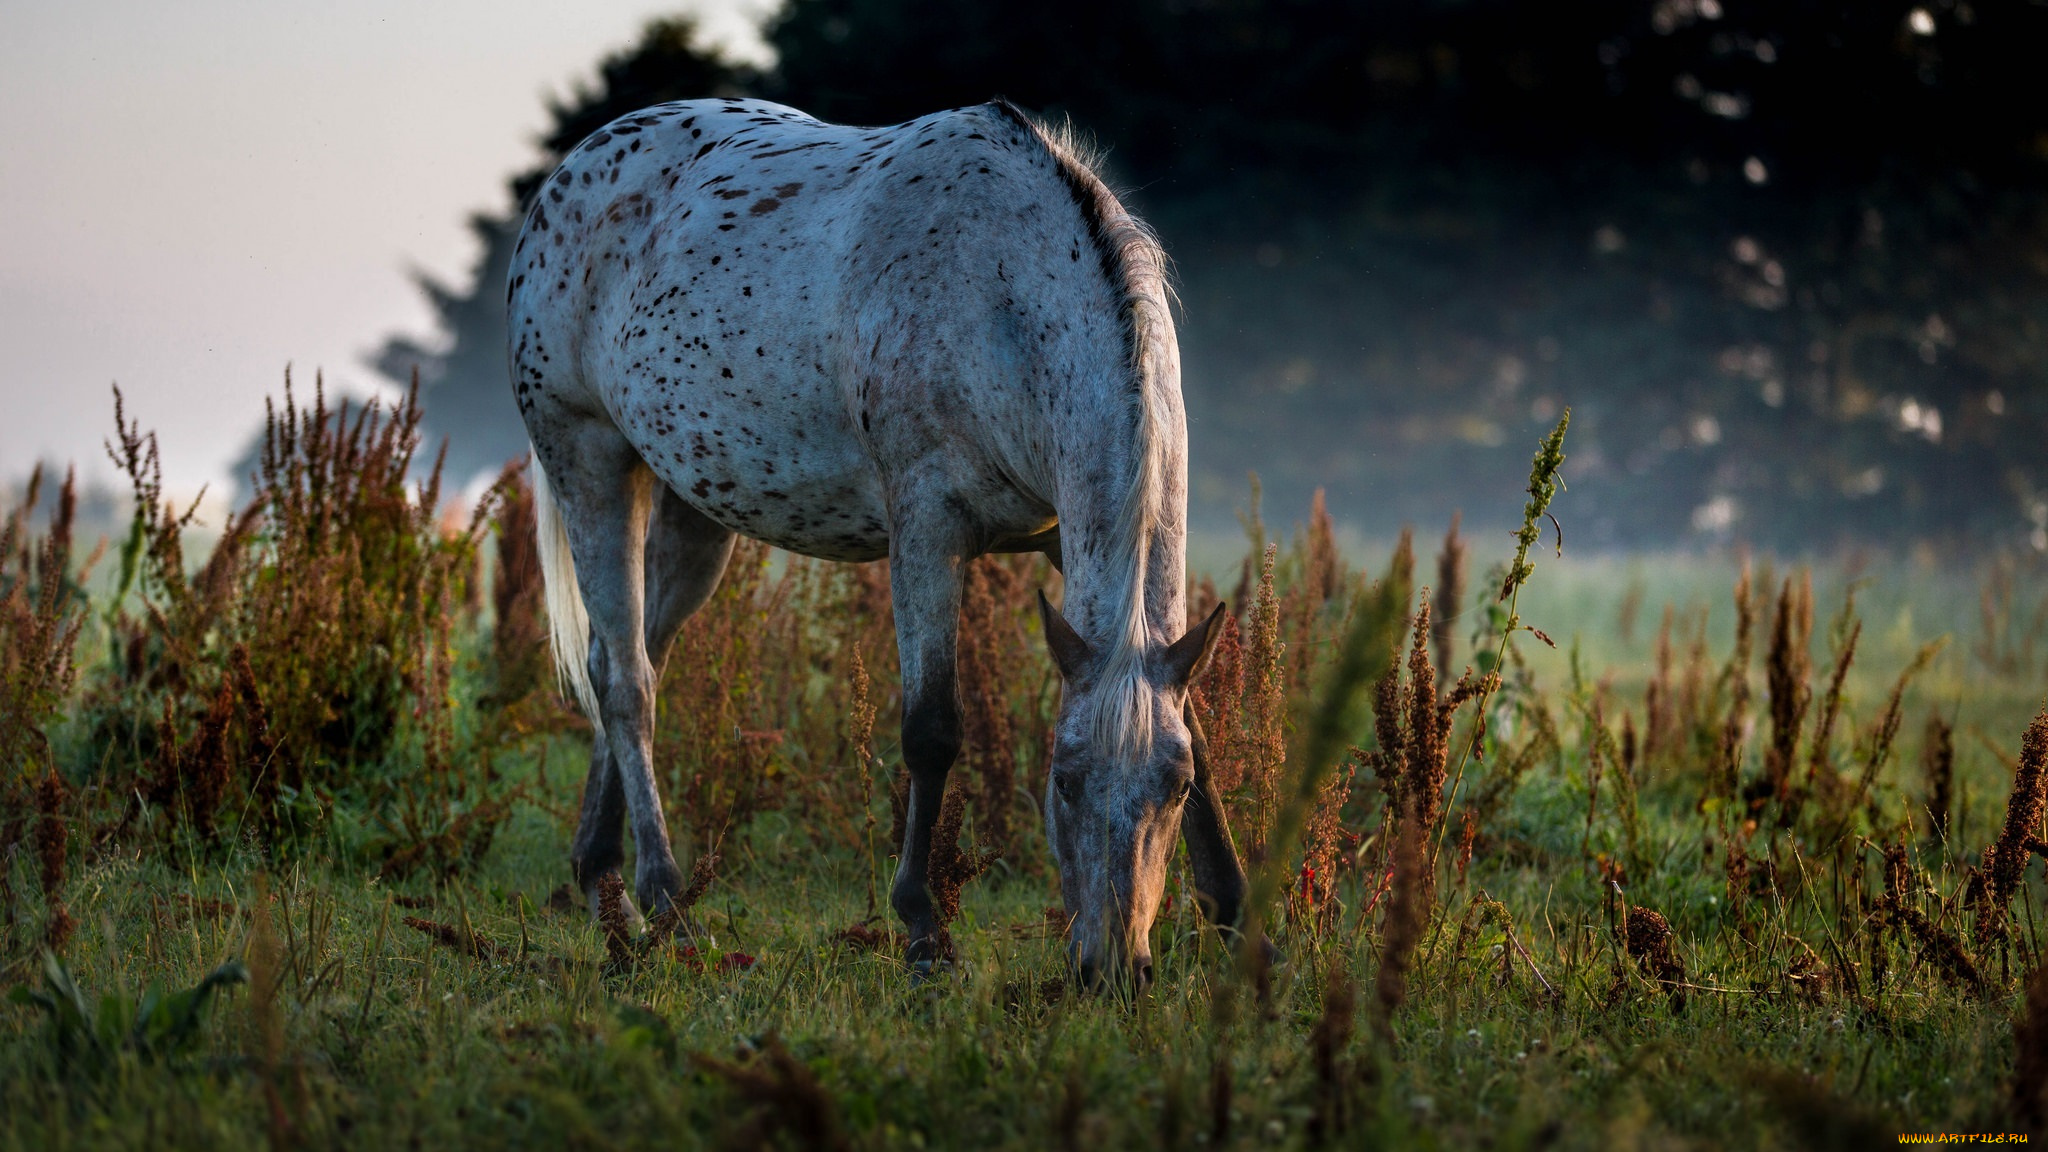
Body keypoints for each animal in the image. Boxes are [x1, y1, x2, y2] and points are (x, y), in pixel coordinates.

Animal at [509, 94, 1245, 988]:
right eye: (1064, 782)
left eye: (1172, 786)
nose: (1111, 971)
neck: (1004, 300)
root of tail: (574, 169)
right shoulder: (927, 526)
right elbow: (932, 729)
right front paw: (924, 931)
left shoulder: (1060, 540)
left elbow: (1191, 717)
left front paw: (1238, 920)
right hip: (590, 463)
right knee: (628, 686)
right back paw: (665, 902)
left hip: (695, 513)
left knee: (626, 656)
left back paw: (600, 880)